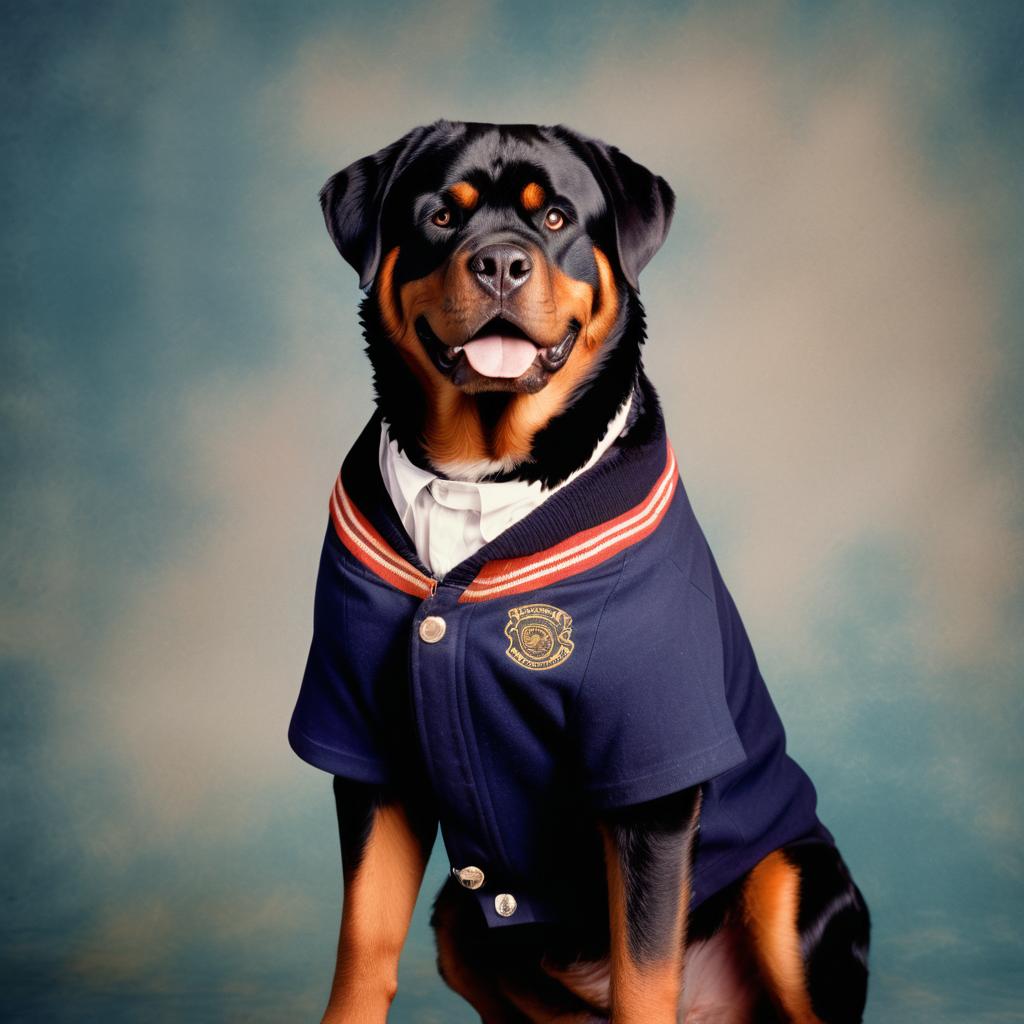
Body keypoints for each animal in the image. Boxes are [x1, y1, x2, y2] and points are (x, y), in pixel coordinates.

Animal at [299, 121, 872, 1024]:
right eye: (440, 216)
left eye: (557, 217)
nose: (501, 261)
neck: (484, 473)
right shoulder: (365, 737)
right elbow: (364, 942)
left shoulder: (649, 772)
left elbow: (645, 968)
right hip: (461, 910)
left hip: (790, 877)